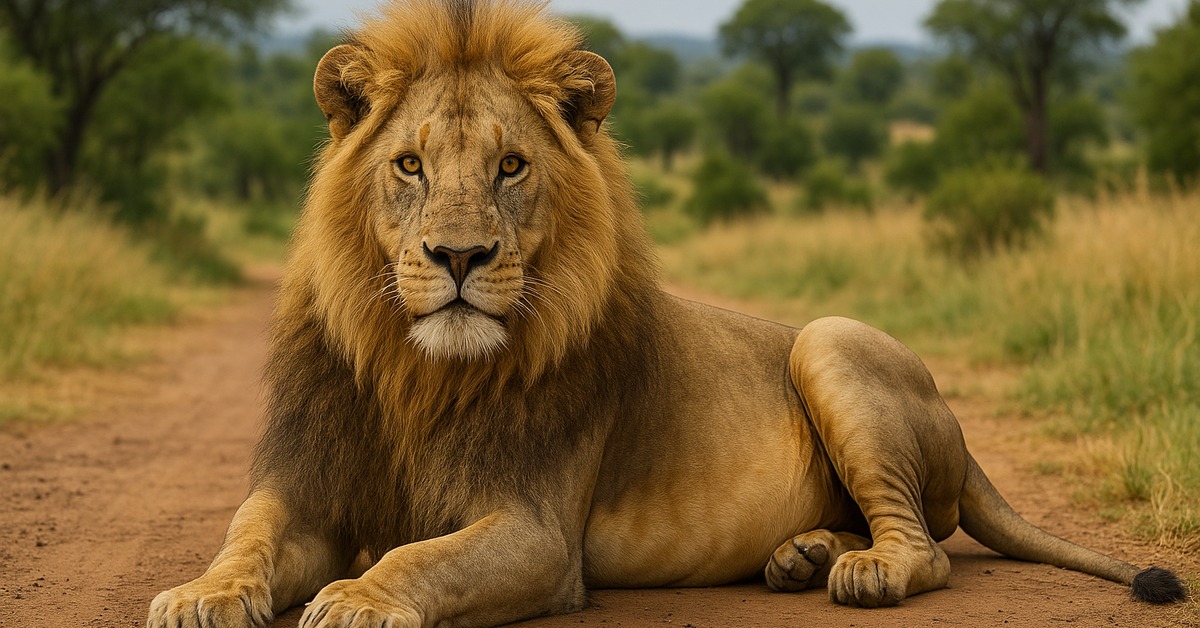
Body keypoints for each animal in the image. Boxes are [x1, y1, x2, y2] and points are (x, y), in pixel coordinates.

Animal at [147, 1, 1188, 626]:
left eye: (510, 166)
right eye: (409, 165)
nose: (459, 258)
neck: (418, 372)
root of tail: (963, 442)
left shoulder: (538, 533)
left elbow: (418, 559)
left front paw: (358, 595)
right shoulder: (311, 484)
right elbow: (247, 535)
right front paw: (200, 592)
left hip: (829, 341)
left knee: (929, 551)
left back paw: (860, 570)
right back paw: (804, 553)